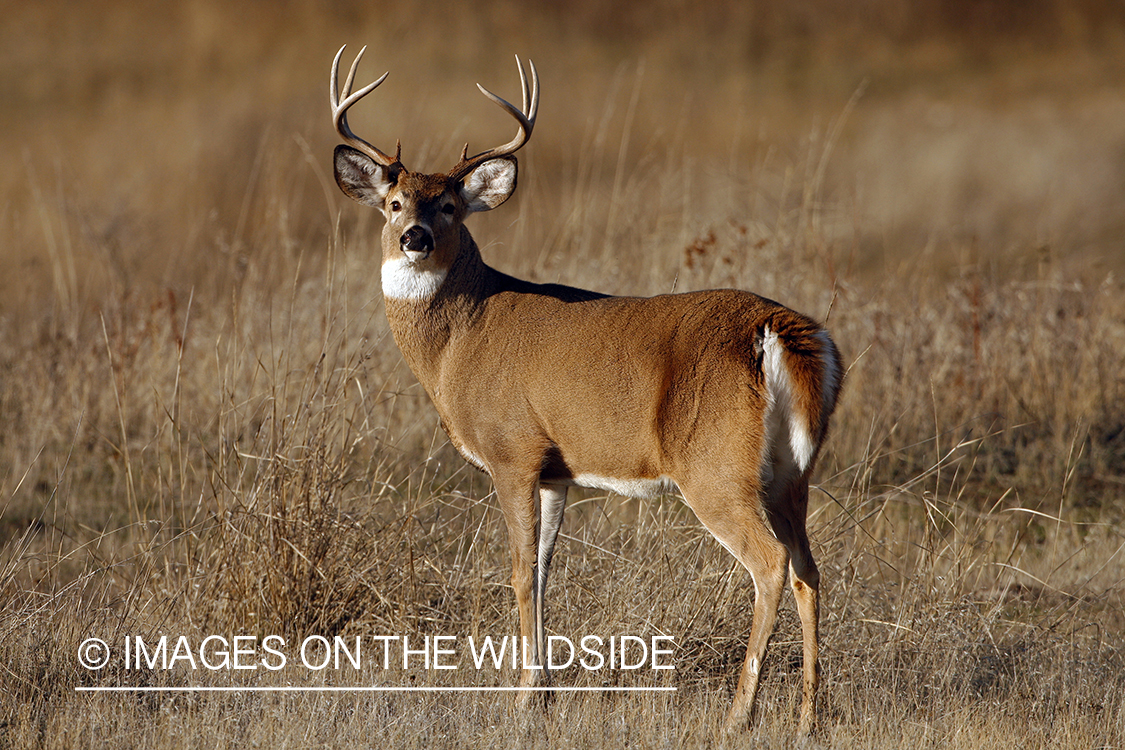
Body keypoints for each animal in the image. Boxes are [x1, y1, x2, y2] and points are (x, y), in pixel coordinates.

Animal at [328, 45, 841, 733]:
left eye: (449, 207)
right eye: (394, 203)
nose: (416, 238)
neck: (459, 339)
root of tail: (779, 329)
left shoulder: (512, 451)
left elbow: (520, 574)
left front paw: (522, 701)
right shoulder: (555, 470)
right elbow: (545, 573)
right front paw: (541, 691)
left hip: (715, 466)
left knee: (771, 563)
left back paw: (739, 714)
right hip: (790, 472)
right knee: (810, 568)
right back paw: (811, 714)